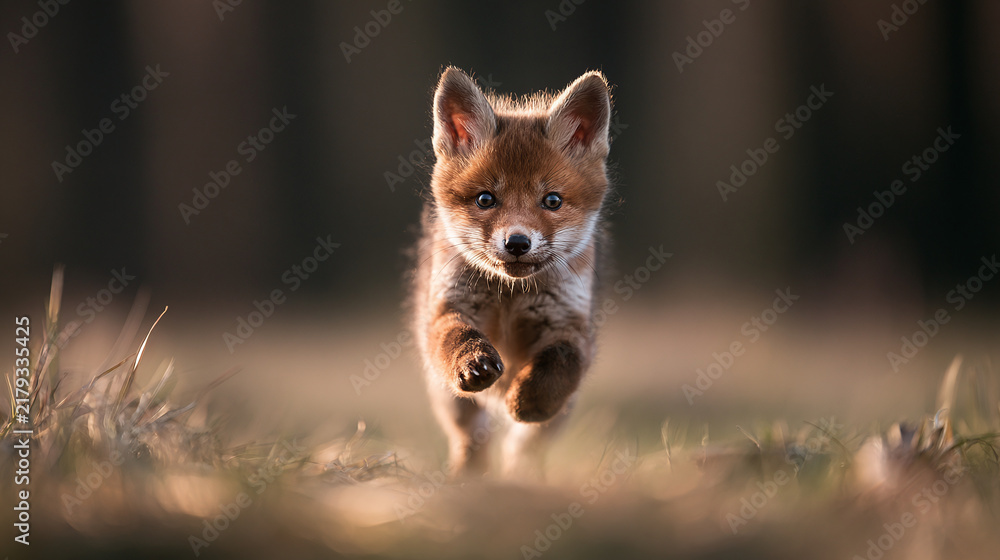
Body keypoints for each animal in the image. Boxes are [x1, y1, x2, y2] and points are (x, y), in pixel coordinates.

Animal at [412, 67, 614, 477]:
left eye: (551, 200)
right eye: (485, 199)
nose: (517, 243)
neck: (511, 295)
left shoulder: (569, 326)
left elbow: (559, 363)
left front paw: (528, 399)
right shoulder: (447, 308)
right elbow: (456, 335)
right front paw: (473, 359)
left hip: (560, 414)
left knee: (524, 447)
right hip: (451, 400)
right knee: (472, 436)